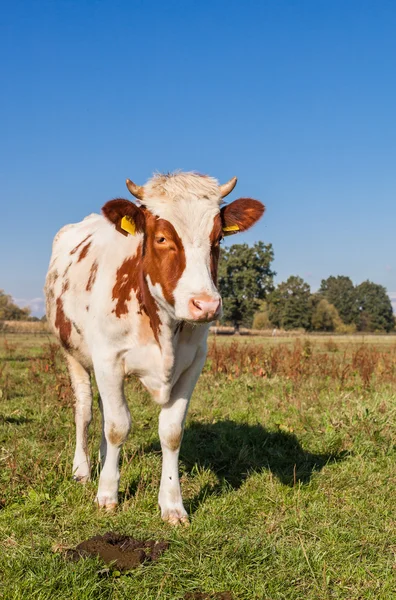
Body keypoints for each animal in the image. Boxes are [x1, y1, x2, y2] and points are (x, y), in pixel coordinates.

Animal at [44, 171, 264, 524]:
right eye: (161, 238)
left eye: (218, 239)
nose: (206, 305)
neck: (163, 327)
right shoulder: (107, 359)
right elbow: (118, 427)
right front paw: (107, 495)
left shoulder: (192, 365)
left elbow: (170, 432)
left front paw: (172, 505)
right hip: (72, 353)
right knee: (86, 411)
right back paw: (83, 470)